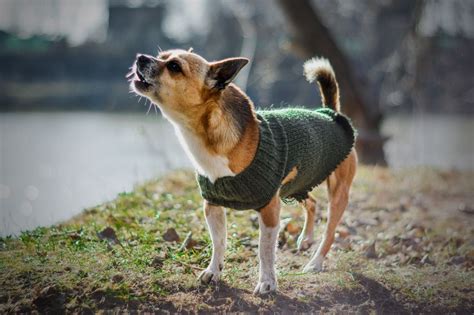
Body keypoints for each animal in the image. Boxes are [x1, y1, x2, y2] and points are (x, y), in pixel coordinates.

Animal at [128, 48, 358, 296]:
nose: (140, 57)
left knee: (330, 231)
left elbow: (265, 250)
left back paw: (315, 262)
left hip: (337, 192)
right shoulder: (212, 205)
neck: (206, 139)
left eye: (174, 67)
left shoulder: (269, 210)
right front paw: (214, 271)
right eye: (161, 56)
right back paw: (306, 239)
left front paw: (267, 282)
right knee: (313, 203)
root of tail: (330, 112)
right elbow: (219, 242)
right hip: (298, 183)